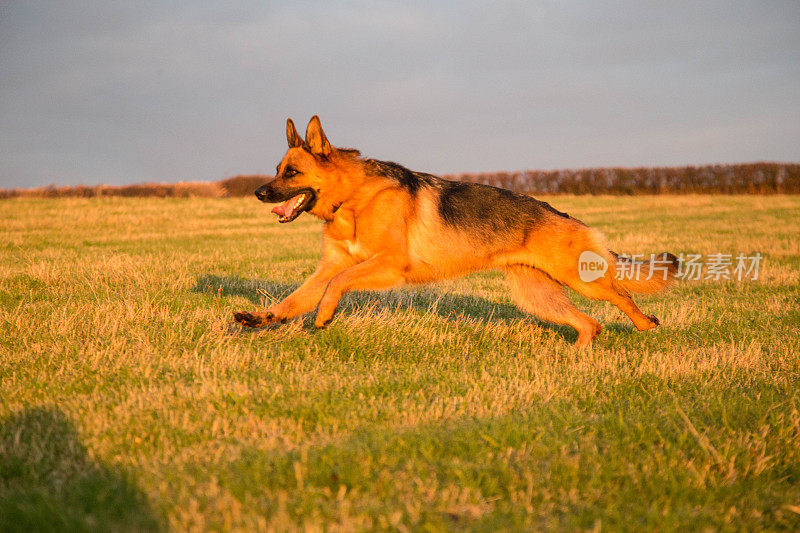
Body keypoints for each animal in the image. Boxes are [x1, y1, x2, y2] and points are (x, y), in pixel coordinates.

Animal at [234, 115, 680, 344]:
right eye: (277, 169)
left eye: (292, 172)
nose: (257, 192)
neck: (354, 199)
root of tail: (567, 216)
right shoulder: (328, 269)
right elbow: (294, 299)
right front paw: (262, 318)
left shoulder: (388, 265)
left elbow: (336, 284)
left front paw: (325, 314)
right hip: (537, 297)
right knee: (591, 324)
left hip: (580, 279)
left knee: (621, 296)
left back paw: (645, 324)